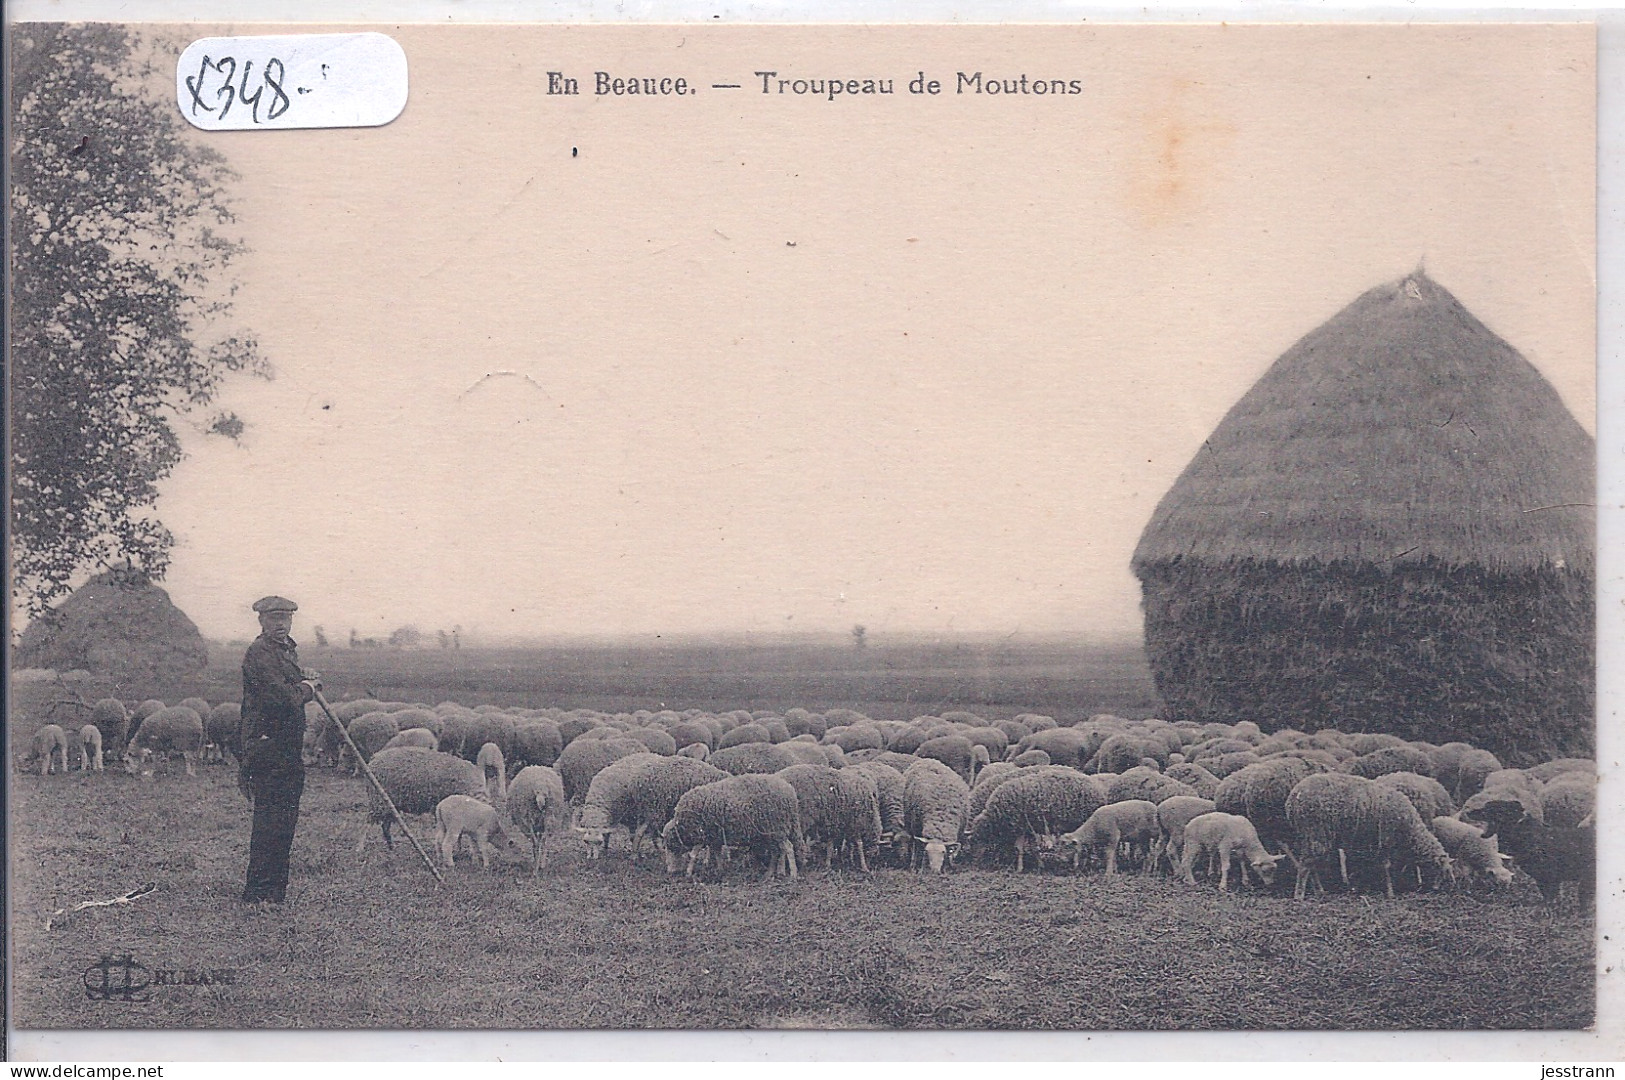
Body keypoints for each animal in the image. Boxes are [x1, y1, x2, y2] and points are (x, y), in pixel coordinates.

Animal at [659, 769, 806, 883]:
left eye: (670, 848)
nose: (670, 872)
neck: (682, 824)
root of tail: (789, 792)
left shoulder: (700, 834)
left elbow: (693, 855)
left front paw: (689, 873)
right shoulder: (714, 837)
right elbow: (717, 854)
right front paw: (719, 871)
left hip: (777, 828)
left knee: (788, 847)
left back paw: (793, 875)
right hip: (770, 831)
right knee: (777, 851)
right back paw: (771, 873)